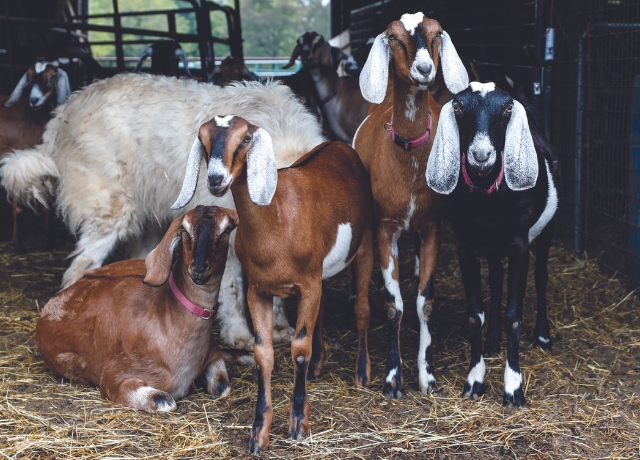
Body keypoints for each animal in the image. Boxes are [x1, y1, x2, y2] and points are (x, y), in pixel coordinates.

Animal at [0, 74, 325, 350]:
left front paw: (279, 328)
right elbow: (232, 290)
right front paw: (240, 335)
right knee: (78, 269)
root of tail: (64, 112)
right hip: (111, 211)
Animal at [36, 205, 241, 413]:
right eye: (185, 230)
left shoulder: (213, 354)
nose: (198, 268)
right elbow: (165, 401)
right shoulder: (115, 377)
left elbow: (222, 386)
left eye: (226, 230)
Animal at [172, 115, 374, 453]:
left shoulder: (307, 285)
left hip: (366, 246)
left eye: (245, 139)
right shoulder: (259, 291)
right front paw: (258, 434)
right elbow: (263, 354)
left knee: (361, 307)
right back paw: (318, 367)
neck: (278, 219)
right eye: (203, 139)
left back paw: (362, 374)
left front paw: (298, 424)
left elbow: (299, 348)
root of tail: (338, 144)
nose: (215, 179)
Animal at [353, 12, 469, 399]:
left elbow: (424, 304)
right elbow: (395, 307)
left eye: (437, 35)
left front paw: (426, 376)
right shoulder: (385, 228)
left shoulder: (431, 228)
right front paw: (392, 378)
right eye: (393, 37)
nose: (424, 69)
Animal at [426, 82, 560, 407]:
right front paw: (475, 380)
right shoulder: (465, 245)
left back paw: (543, 335)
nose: (481, 154)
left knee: (541, 275)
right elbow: (476, 314)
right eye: (458, 107)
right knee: (497, 277)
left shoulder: (519, 243)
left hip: (546, 228)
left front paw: (513, 388)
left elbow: (515, 316)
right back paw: (493, 340)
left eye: (507, 108)